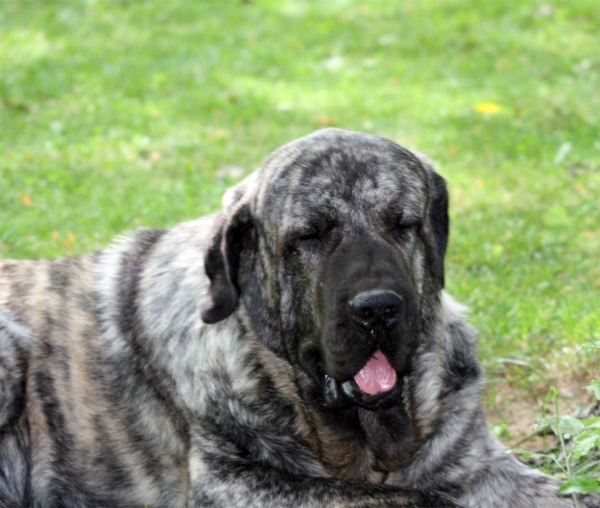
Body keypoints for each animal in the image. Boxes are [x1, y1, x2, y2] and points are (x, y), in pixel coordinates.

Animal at [1, 129, 596, 506]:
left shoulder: (479, 462)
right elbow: (415, 500)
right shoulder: (237, 485)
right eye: (308, 237)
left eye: (403, 223)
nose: (378, 308)